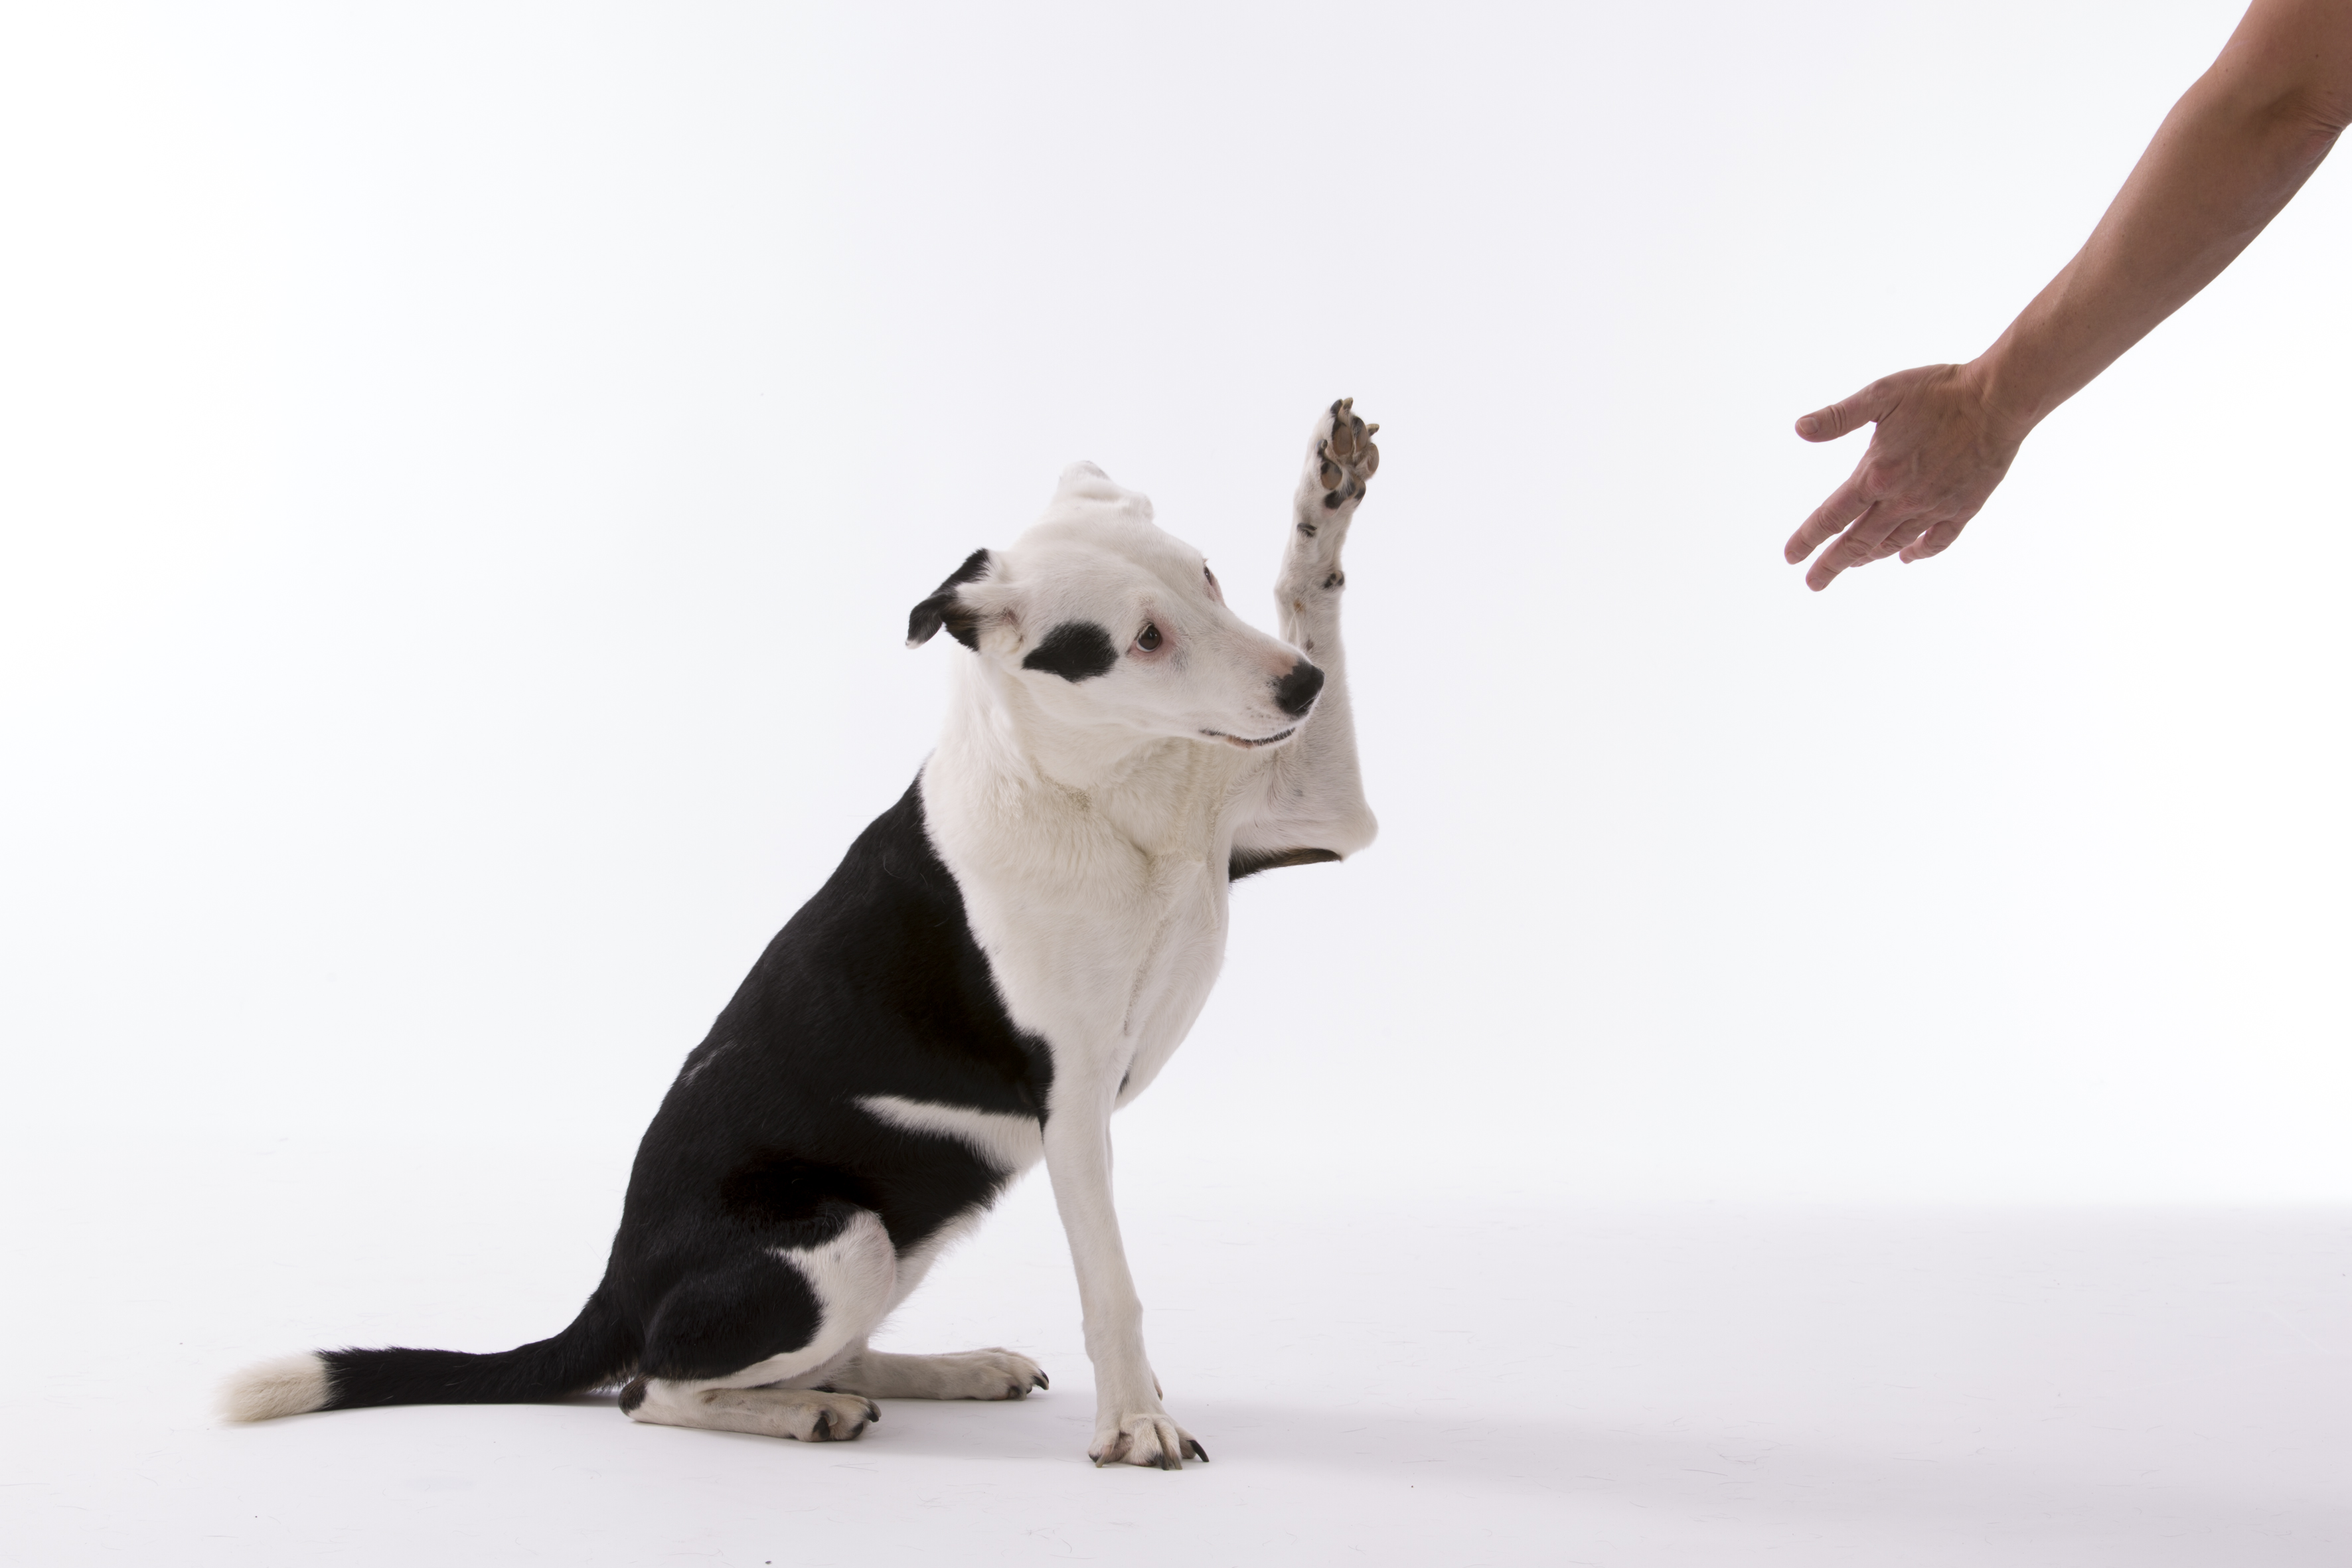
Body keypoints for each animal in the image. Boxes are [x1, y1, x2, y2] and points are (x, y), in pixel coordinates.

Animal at [223, 398, 1382, 1469]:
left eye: (1207, 579)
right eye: (1143, 639)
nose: (1298, 687)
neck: (1106, 787)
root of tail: (613, 1284)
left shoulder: (1321, 816)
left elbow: (1306, 595)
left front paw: (1326, 493)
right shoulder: (1073, 1101)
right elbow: (1112, 1284)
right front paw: (1136, 1422)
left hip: (894, 1237)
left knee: (820, 1353)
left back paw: (947, 1369)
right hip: (837, 1238)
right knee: (654, 1385)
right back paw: (809, 1412)